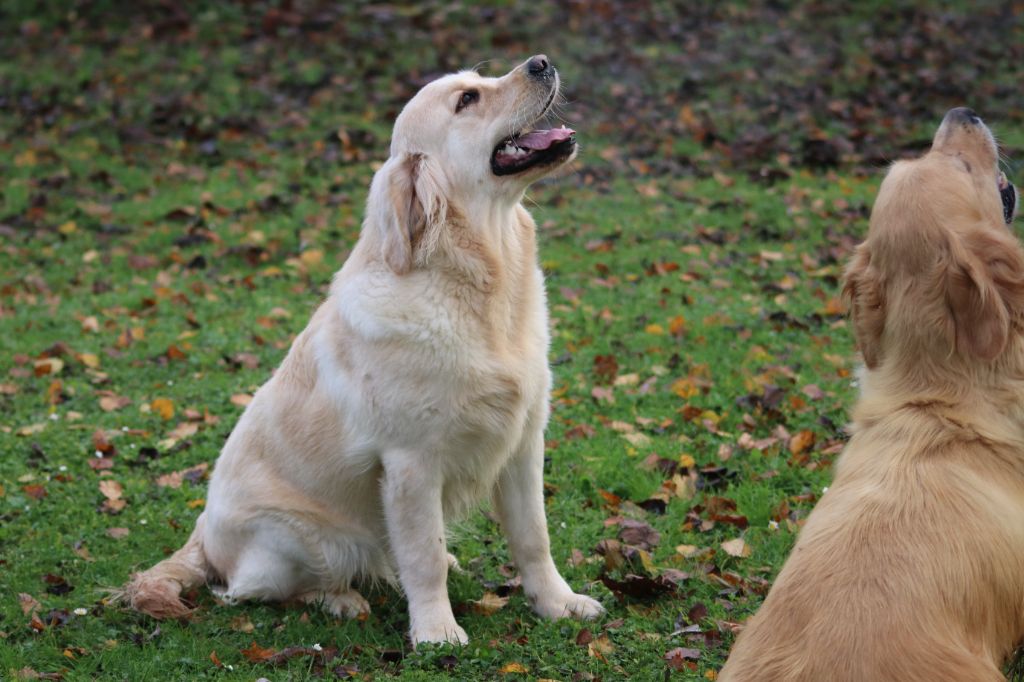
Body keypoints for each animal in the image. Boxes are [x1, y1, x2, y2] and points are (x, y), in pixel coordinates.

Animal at [120, 55, 602, 647]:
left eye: (478, 81)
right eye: (467, 100)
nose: (541, 62)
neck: (478, 280)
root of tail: (202, 536)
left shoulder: (524, 443)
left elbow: (534, 537)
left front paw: (558, 603)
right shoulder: (411, 463)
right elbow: (424, 557)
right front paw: (437, 632)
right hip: (304, 543)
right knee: (251, 591)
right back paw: (341, 600)